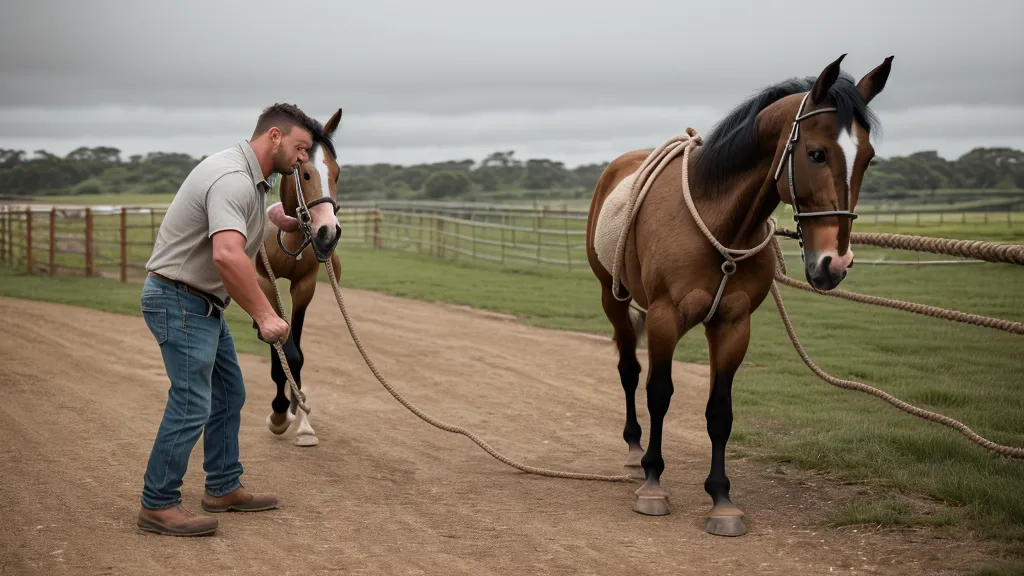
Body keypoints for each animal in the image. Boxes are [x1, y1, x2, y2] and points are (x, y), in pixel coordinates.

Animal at [254, 107, 345, 448]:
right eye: (305, 173)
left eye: (337, 173)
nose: (328, 233)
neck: (289, 237)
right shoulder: (264, 282)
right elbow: (283, 349)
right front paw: (279, 412)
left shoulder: (304, 287)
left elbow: (298, 354)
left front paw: (300, 416)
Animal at [585, 54, 893, 536]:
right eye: (816, 153)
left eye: (868, 159)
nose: (834, 263)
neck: (718, 220)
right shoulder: (664, 317)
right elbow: (659, 392)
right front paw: (654, 483)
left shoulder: (733, 323)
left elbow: (720, 411)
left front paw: (721, 499)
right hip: (613, 300)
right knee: (629, 372)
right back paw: (636, 453)